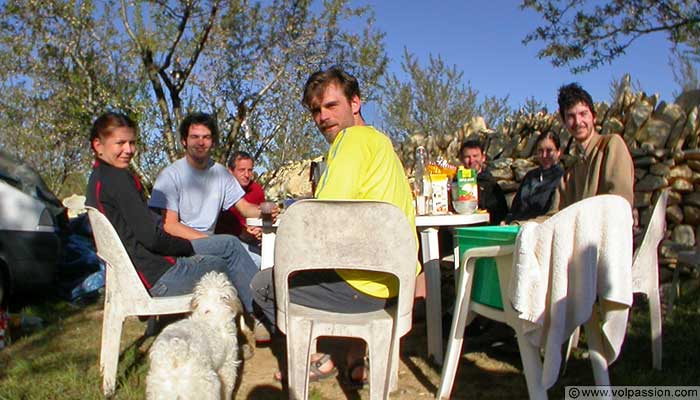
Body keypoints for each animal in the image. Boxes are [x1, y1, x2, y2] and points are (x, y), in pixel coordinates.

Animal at [146, 272, 245, 400]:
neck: (209, 312)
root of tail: (175, 353)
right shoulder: (228, 365)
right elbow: (228, 388)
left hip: (161, 391)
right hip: (208, 387)